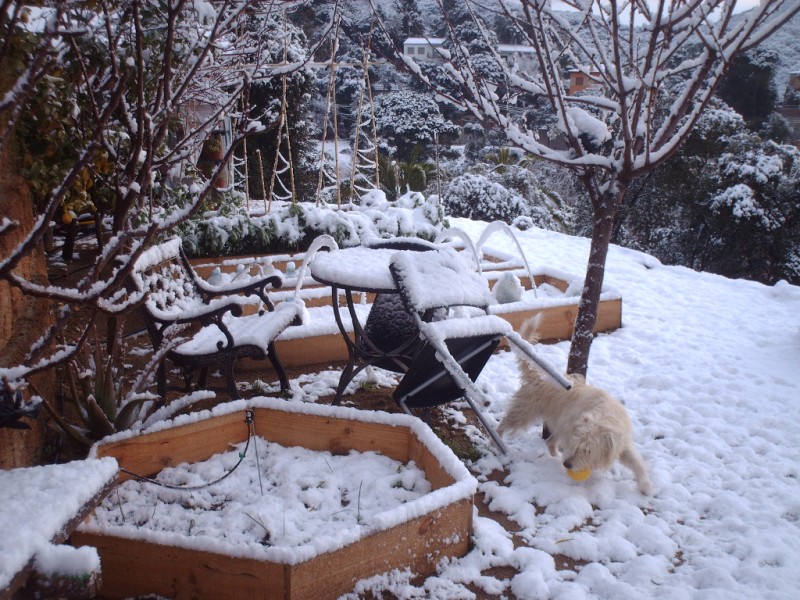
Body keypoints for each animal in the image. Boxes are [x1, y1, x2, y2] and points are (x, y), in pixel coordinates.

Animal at [504, 316, 652, 494]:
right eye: (577, 446)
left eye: (588, 450)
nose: (567, 464)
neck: (603, 417)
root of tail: (538, 374)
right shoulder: (571, 435)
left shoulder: (621, 444)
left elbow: (636, 462)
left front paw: (646, 486)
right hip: (524, 412)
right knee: (503, 424)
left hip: (559, 424)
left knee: (550, 441)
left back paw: (554, 456)